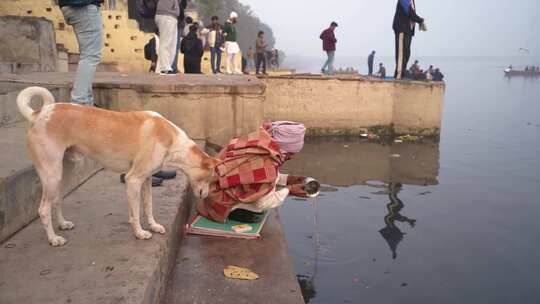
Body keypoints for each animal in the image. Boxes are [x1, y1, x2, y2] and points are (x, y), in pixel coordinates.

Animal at [17, 86, 219, 247]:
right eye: (211, 179)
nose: (206, 196)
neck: (171, 140)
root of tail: (39, 113)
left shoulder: (145, 180)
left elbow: (147, 206)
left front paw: (153, 225)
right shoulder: (133, 180)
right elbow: (136, 212)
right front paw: (140, 233)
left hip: (63, 173)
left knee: (56, 200)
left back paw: (62, 224)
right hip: (51, 174)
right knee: (43, 210)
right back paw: (53, 239)